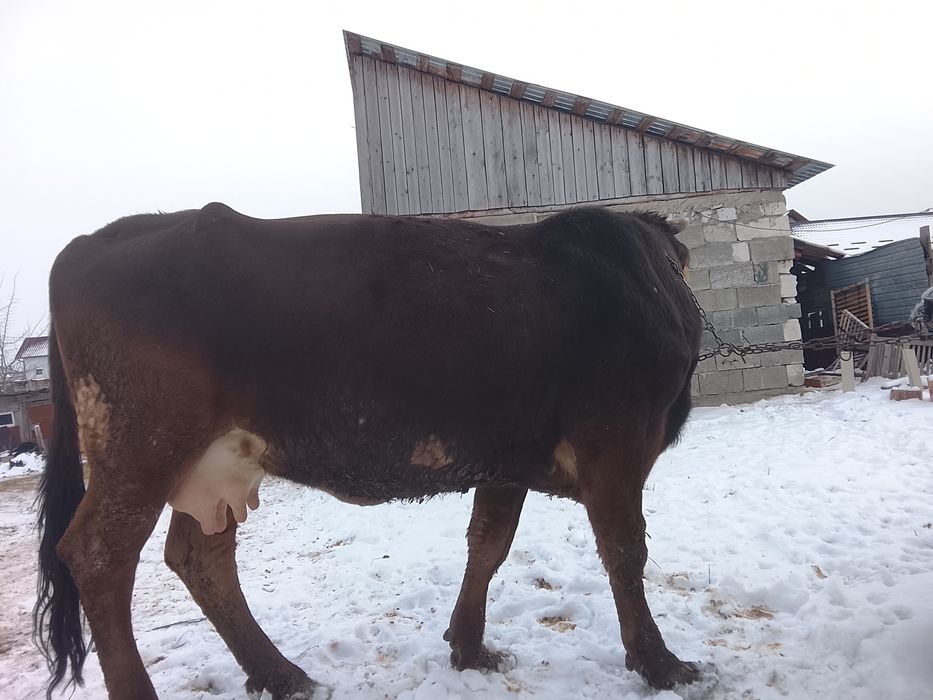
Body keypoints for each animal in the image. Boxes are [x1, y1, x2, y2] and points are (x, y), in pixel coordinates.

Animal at [34, 204, 704, 699]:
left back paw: (282, 675)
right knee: (99, 555)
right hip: (142, 443)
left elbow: (488, 545)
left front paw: (468, 647)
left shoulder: (508, 457)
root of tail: (94, 240)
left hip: (216, 463)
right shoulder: (617, 437)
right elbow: (625, 551)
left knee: (201, 558)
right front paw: (660, 663)